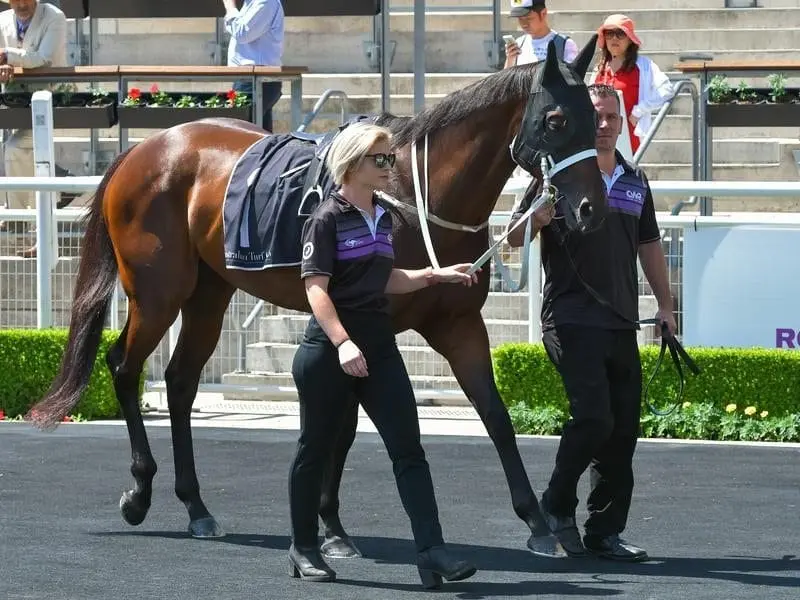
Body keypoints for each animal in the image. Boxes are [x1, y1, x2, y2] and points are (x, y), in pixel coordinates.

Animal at [29, 38, 608, 556]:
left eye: (596, 119)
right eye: (556, 119)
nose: (589, 210)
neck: (414, 195)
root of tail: (145, 148)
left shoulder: (459, 323)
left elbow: (494, 414)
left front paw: (538, 522)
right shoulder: (363, 328)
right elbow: (345, 425)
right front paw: (331, 528)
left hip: (209, 294)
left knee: (180, 381)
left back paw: (196, 508)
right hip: (157, 294)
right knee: (125, 366)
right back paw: (140, 493)